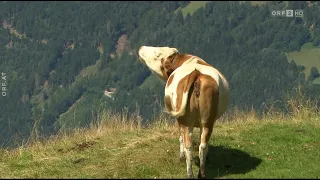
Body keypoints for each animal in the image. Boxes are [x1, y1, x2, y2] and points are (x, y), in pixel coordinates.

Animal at [138, 45, 230, 179]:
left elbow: (180, 137)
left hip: (185, 120)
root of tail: (196, 73)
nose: (141, 47)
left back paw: (189, 173)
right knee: (202, 145)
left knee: (188, 145)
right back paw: (201, 173)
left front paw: (181, 156)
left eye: (157, 53)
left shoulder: (179, 120)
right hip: (207, 120)